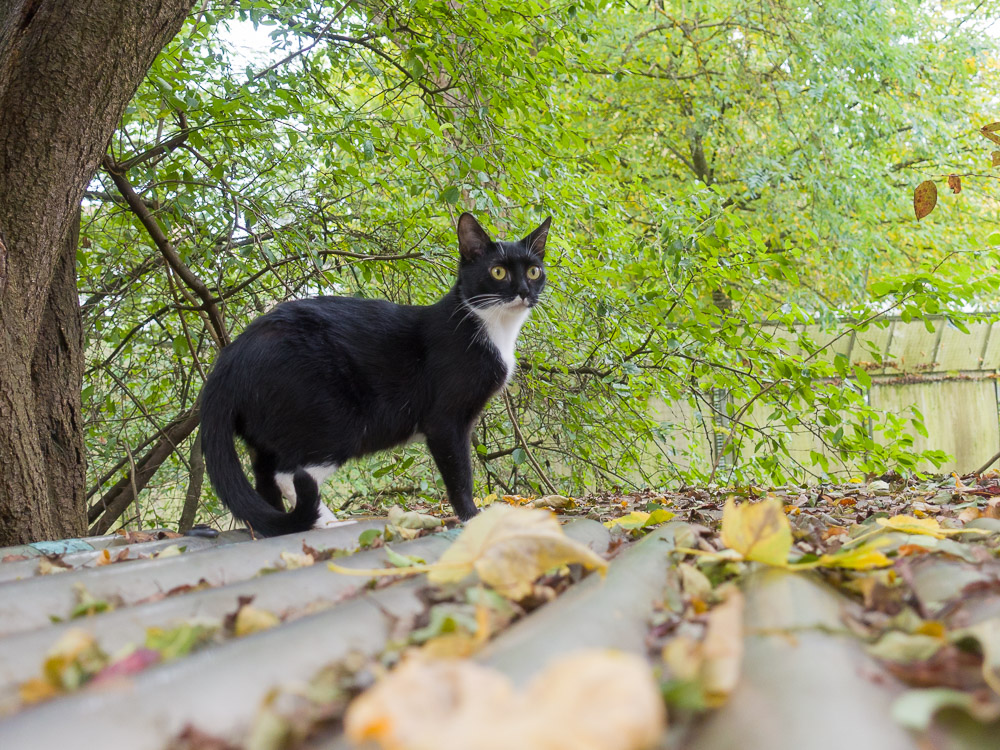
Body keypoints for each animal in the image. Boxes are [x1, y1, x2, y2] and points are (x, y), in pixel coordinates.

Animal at [198, 214, 552, 536]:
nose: (524, 291)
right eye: (498, 272)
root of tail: (232, 356)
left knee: (264, 478)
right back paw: (325, 522)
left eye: (534, 271)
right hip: (335, 419)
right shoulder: (445, 421)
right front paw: (472, 518)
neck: (492, 327)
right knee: (290, 475)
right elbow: (460, 474)